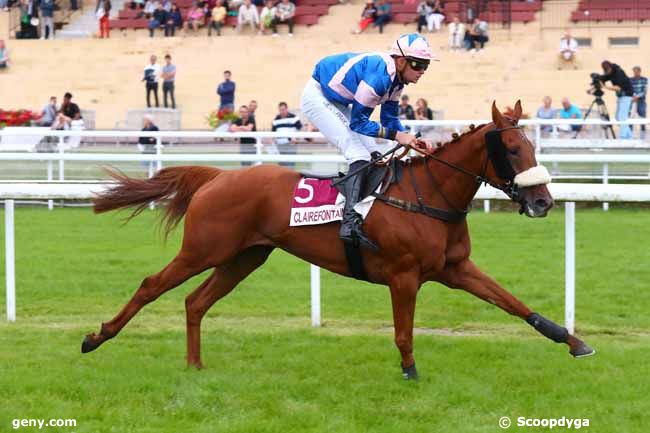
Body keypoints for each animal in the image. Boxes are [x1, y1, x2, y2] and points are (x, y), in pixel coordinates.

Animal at [81, 101, 592, 378]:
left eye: (533, 146)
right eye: (512, 149)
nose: (543, 202)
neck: (427, 196)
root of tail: (217, 176)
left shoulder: (455, 268)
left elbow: (513, 302)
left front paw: (572, 340)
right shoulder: (404, 276)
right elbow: (403, 330)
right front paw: (410, 372)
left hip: (244, 257)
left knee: (196, 302)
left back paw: (194, 365)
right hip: (204, 249)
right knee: (152, 285)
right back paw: (96, 337)